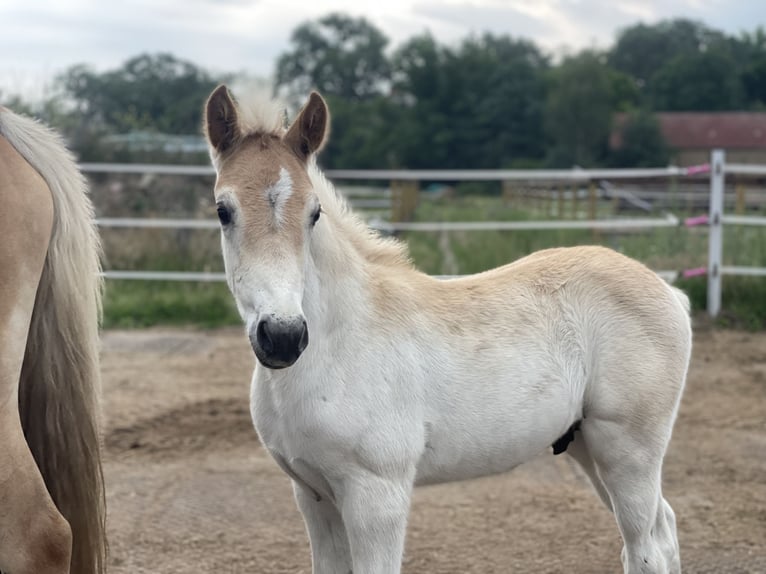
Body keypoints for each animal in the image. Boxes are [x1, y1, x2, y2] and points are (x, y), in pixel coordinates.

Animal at [202, 85, 688, 574]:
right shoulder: (313, 495)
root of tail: (670, 292)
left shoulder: (376, 495)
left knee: (645, 547)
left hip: (628, 451)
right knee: (663, 529)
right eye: (223, 211)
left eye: (314, 213)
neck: (337, 346)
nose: (282, 336)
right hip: (586, 444)